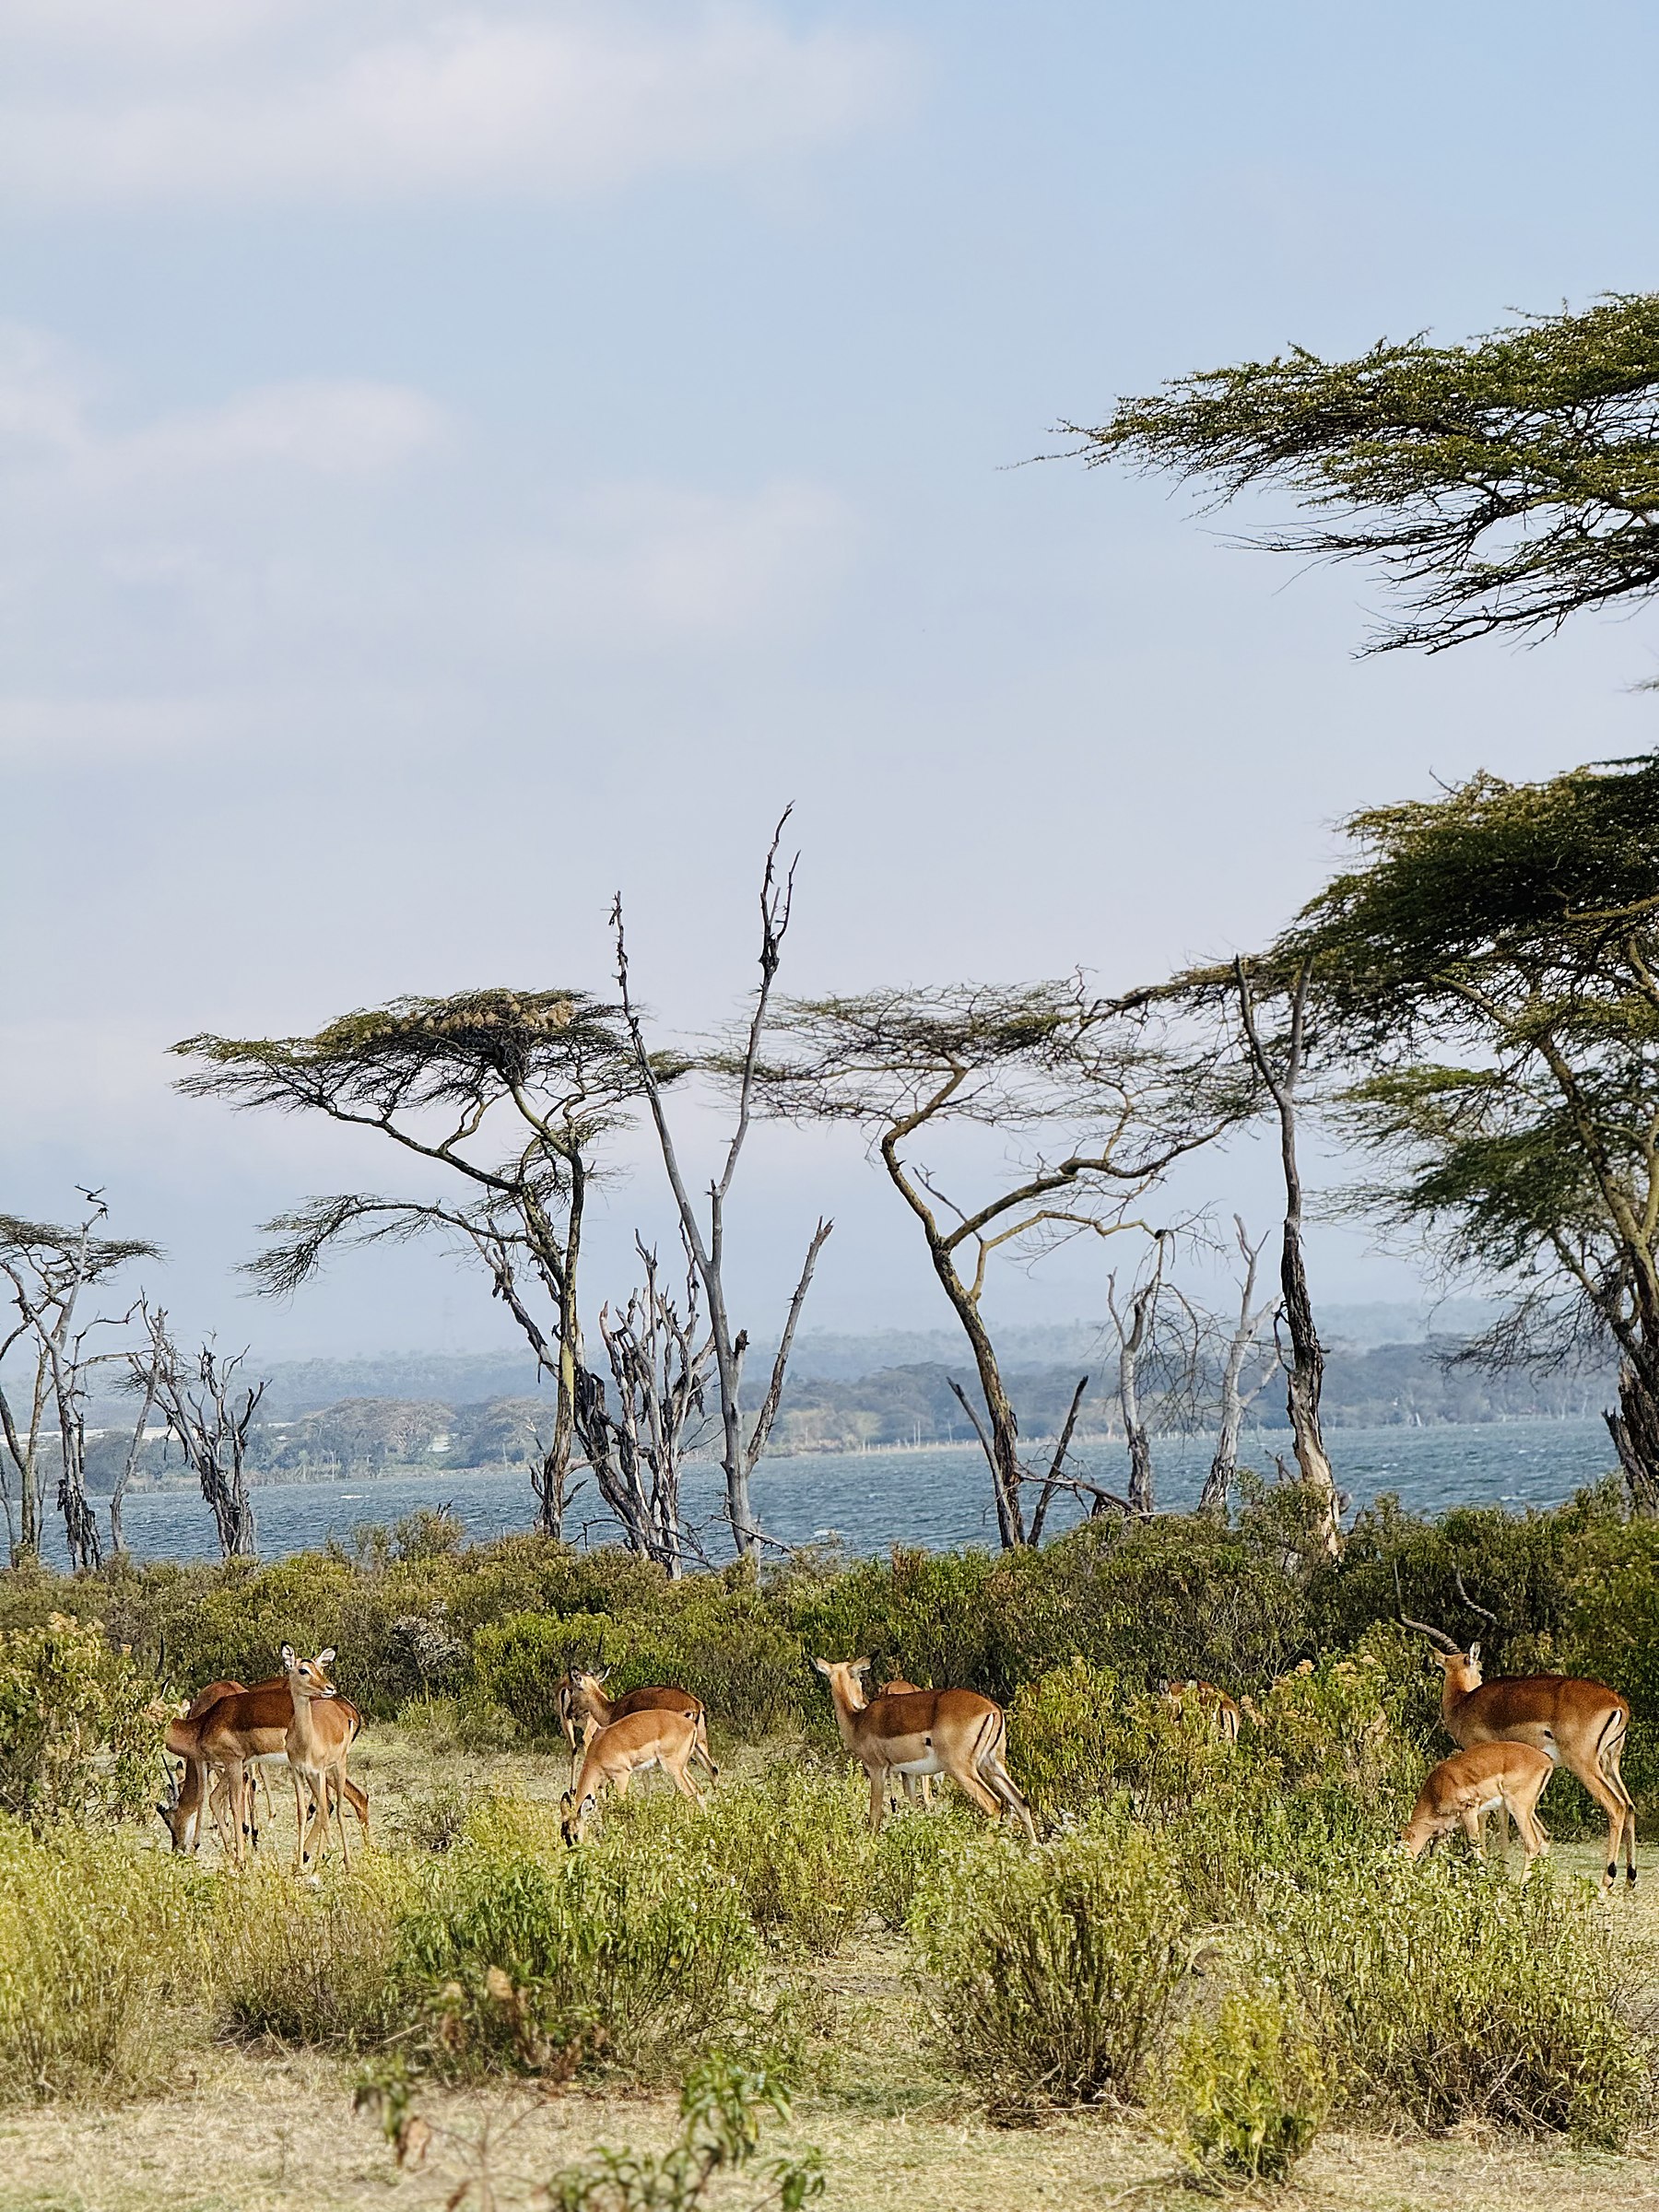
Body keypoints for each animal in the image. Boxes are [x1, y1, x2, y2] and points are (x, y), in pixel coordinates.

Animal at [554, 1668, 716, 1786]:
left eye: (575, 1688)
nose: (569, 1711)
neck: (611, 1709)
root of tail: (696, 1704)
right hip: (699, 1744)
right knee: (713, 1770)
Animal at [559, 1707, 706, 1845]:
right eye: (564, 1835)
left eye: (576, 1834)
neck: (598, 1752)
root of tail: (691, 1725)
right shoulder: (604, 1783)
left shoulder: (622, 1776)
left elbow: (621, 1806)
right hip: (682, 1768)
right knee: (698, 1790)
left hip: (672, 1768)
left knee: (690, 1794)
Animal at [813, 1659, 1036, 1838]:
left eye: (859, 1676)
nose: (862, 1700)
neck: (858, 1720)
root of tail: (992, 1709)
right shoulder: (909, 1773)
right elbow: (912, 1807)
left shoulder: (877, 1769)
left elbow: (874, 1816)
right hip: (992, 1764)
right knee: (1021, 1801)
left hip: (962, 1769)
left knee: (993, 1804)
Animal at [1401, 1740, 1557, 1876]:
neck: (1436, 1791)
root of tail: (1546, 1759)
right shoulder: (1445, 1830)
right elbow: (1435, 1856)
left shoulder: (1469, 1811)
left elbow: (1478, 1852)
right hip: (1526, 1810)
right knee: (1544, 1838)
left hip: (1518, 1808)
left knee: (1533, 1843)